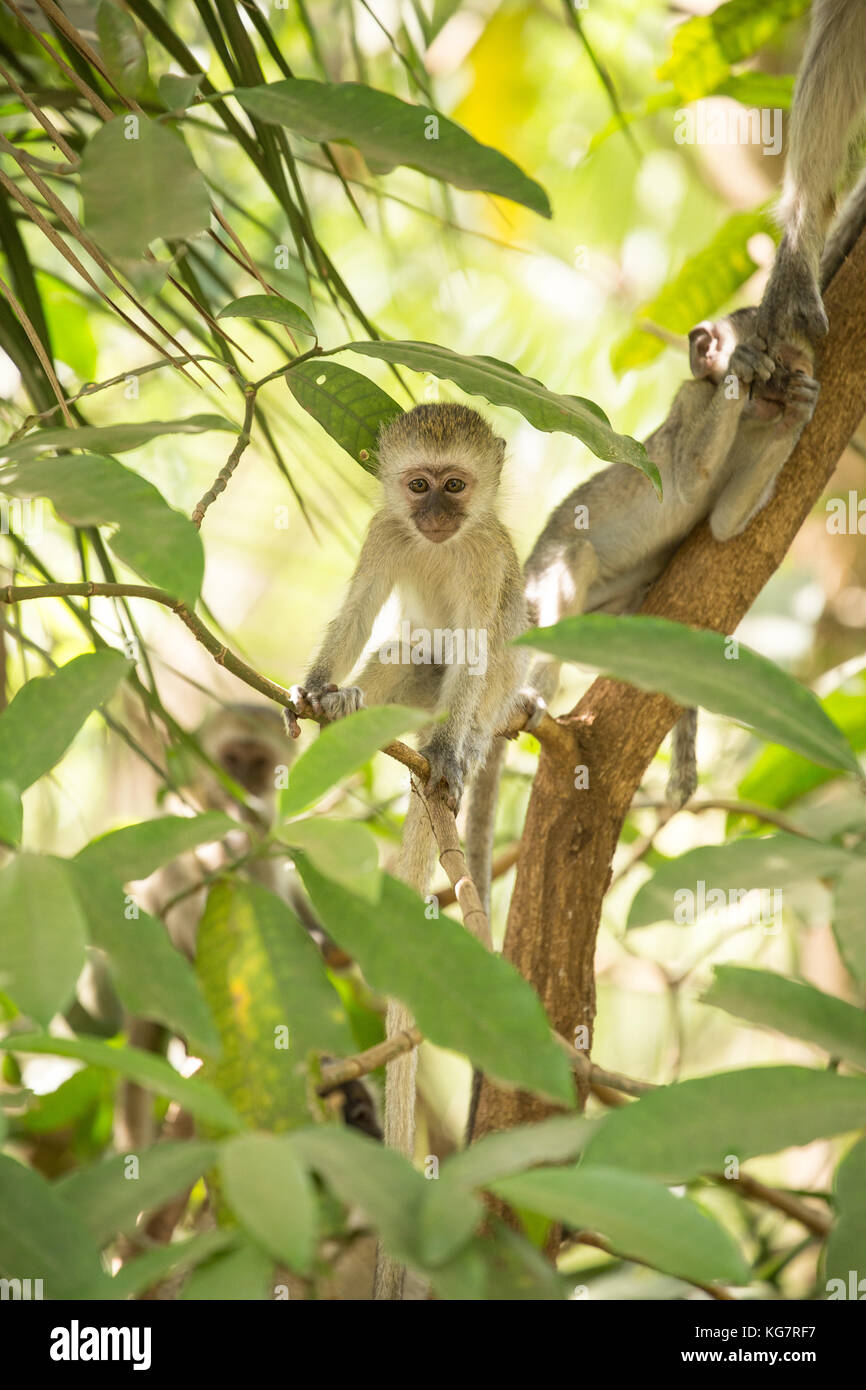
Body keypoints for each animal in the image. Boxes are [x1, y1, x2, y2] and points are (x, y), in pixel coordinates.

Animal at [293, 403, 528, 1301]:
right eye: (417, 484)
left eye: (455, 487)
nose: (431, 514)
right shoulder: (382, 535)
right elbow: (360, 613)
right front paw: (319, 686)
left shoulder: (487, 556)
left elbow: (481, 645)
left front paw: (454, 758)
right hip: (407, 683)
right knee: (402, 666)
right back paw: (338, 722)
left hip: (483, 705)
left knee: (478, 670)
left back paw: (445, 756)